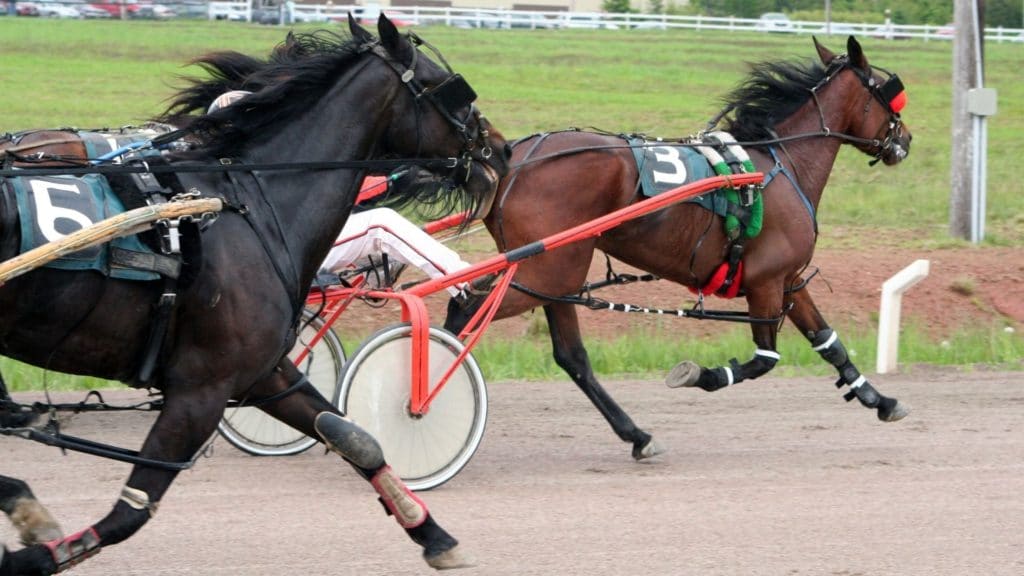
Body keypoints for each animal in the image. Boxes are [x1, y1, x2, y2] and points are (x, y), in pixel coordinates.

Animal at [0, 15, 509, 569]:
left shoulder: (261, 373)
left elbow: (355, 438)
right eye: (449, 87)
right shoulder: (202, 386)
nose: (501, 149)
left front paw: (433, 535)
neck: (249, 203)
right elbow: (131, 511)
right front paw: (34, 553)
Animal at [448, 34, 913, 457]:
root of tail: (512, 161)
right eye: (889, 93)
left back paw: (637, 435)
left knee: (567, 354)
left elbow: (828, 342)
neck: (780, 165)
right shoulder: (766, 282)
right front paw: (701, 375)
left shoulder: (789, 280)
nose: (905, 140)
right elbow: (764, 359)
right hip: (547, 272)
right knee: (469, 312)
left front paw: (880, 400)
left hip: (552, 276)